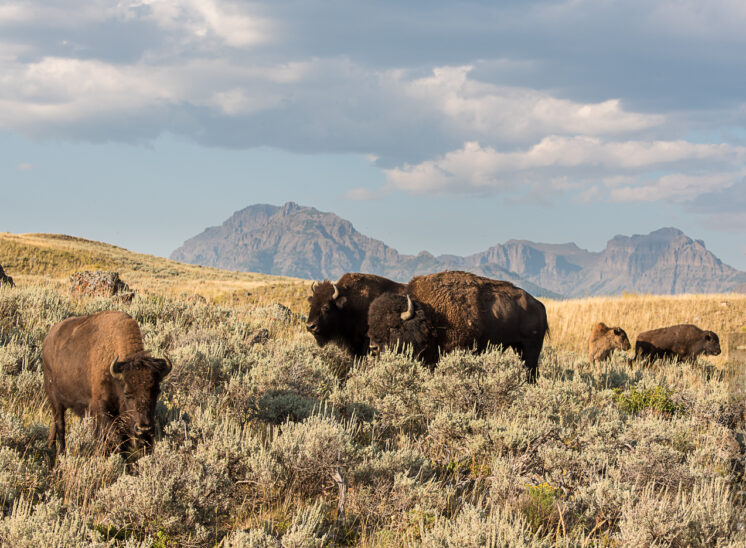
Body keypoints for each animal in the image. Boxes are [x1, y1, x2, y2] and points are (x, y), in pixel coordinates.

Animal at [42, 310, 173, 460]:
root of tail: (47, 340)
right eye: (127, 393)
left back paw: (50, 447)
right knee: (60, 425)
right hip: (55, 401)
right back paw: (62, 453)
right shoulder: (101, 410)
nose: (144, 428)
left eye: (156, 391)